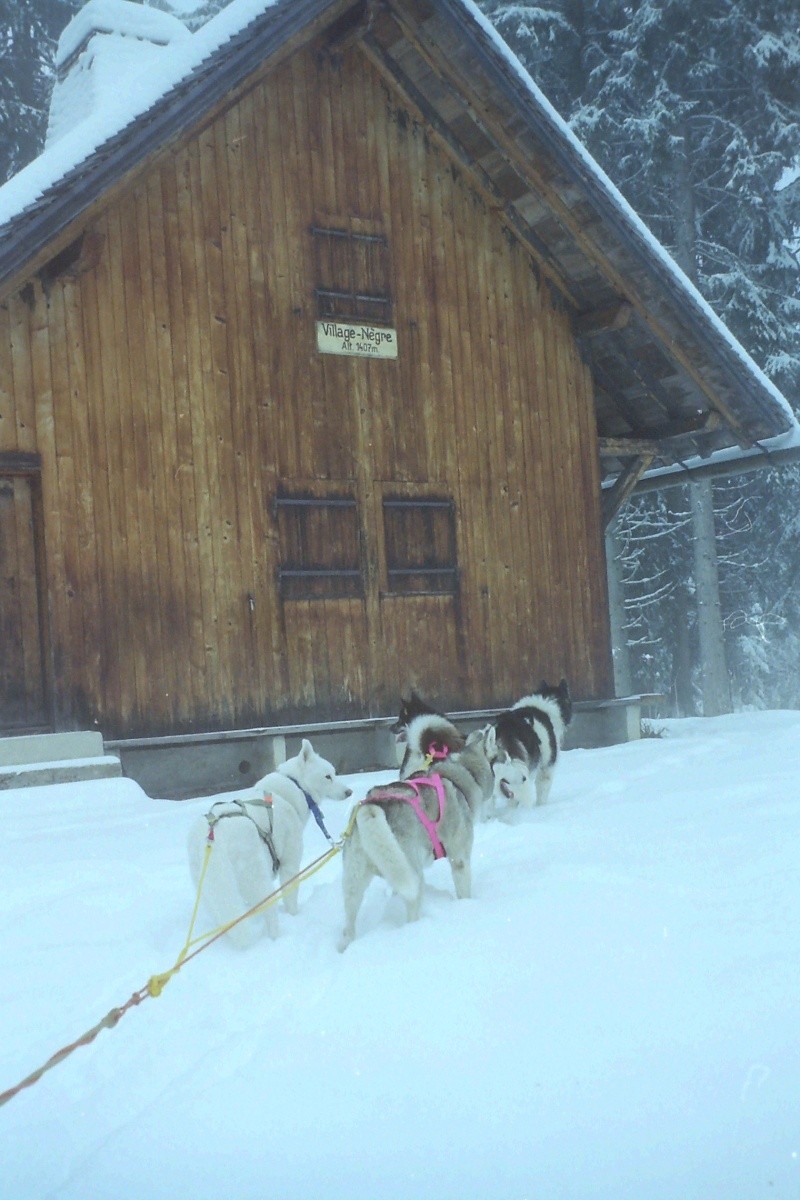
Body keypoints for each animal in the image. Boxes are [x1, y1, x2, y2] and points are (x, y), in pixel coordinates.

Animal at [189, 734, 352, 950]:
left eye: (334, 773)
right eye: (328, 776)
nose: (349, 792)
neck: (295, 787)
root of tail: (211, 837)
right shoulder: (290, 864)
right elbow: (291, 898)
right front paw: (294, 915)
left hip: (211, 892)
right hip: (258, 880)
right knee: (268, 914)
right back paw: (276, 938)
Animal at [338, 724, 494, 950]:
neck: (462, 776)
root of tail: (372, 805)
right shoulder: (459, 860)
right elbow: (464, 890)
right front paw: (467, 906)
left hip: (357, 881)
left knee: (347, 928)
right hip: (414, 877)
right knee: (412, 914)